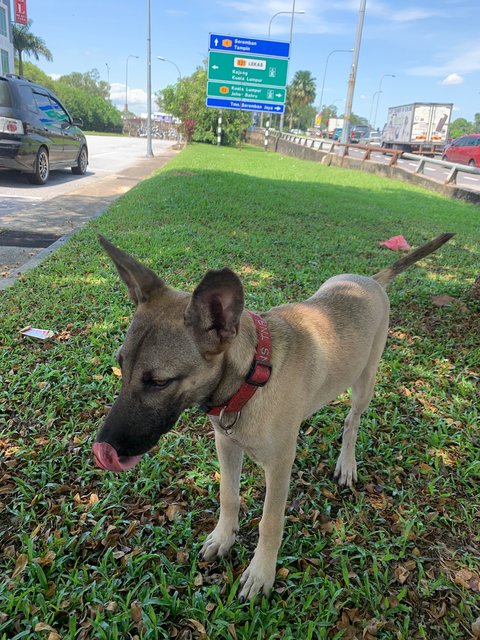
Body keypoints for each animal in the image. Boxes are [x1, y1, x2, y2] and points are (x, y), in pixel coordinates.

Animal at [93, 234, 454, 600]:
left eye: (159, 382)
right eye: (121, 364)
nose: (103, 448)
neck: (251, 376)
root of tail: (371, 280)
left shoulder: (279, 466)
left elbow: (270, 521)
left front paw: (261, 571)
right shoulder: (226, 444)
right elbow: (228, 495)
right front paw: (223, 537)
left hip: (365, 382)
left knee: (352, 422)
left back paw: (347, 463)